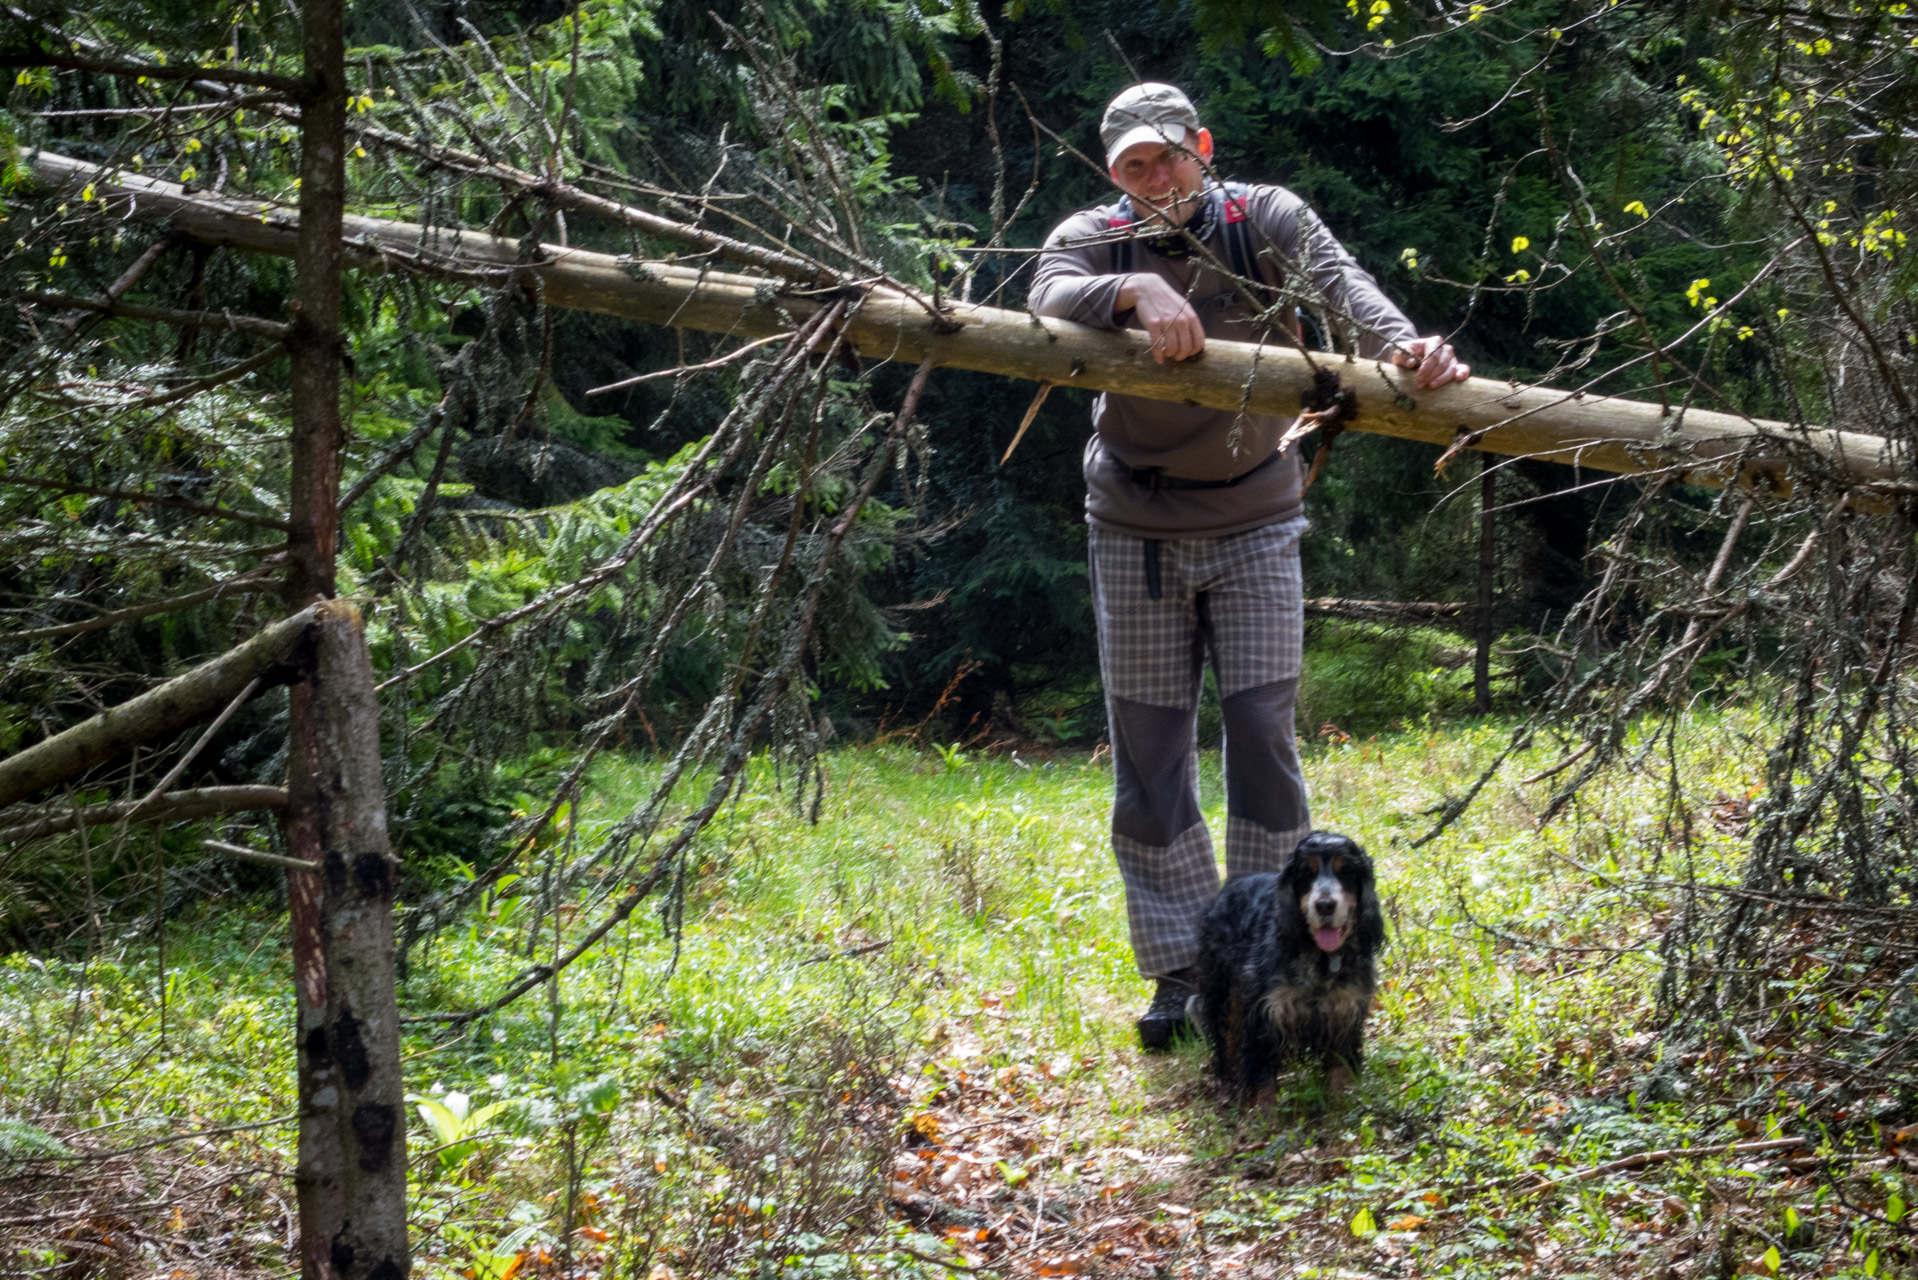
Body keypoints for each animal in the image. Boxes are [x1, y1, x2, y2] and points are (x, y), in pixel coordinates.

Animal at [1189, 836, 1388, 1105]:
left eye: (1345, 871)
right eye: (1306, 873)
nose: (1325, 905)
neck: (1321, 957)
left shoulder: (1345, 1013)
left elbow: (1341, 1068)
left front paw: (1343, 1105)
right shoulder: (1265, 1015)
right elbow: (1262, 1075)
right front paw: (1263, 1113)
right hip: (1222, 993)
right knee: (1225, 1041)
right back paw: (1226, 1087)